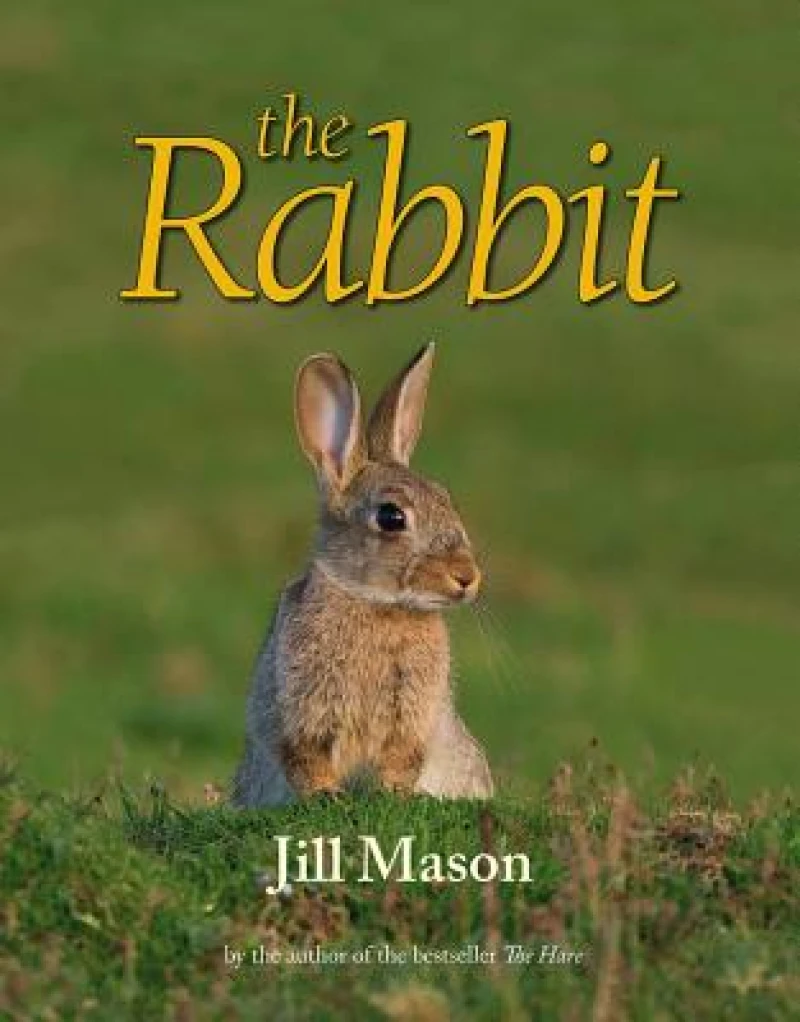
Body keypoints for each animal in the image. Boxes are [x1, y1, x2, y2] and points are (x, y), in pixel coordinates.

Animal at [232, 343, 494, 807]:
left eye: (446, 499)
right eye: (391, 517)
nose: (467, 577)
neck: (377, 603)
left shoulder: (412, 717)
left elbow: (401, 759)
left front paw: (394, 796)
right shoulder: (298, 711)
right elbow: (306, 759)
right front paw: (326, 797)